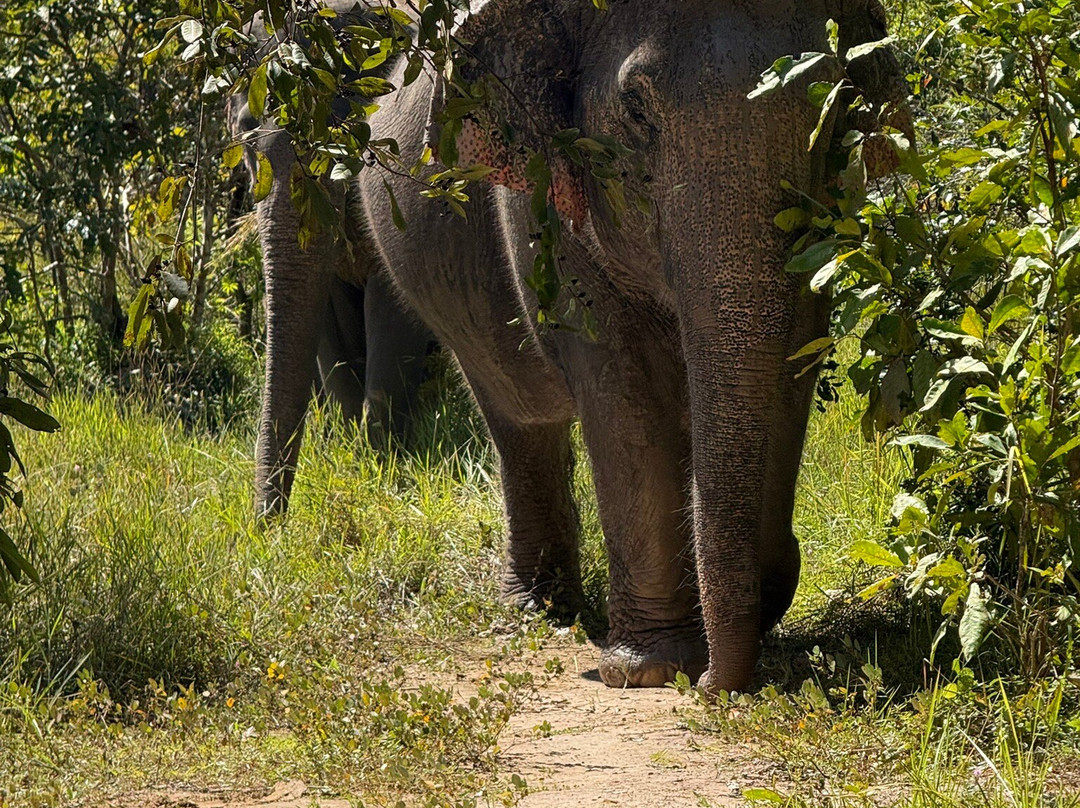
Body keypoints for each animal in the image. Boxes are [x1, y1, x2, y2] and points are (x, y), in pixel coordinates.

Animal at [226, 94, 434, 518]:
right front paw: (354, 455)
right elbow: (325, 323)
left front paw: (382, 466)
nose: (265, 524)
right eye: (246, 136)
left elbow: (392, 308)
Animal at [250, 0, 910, 692]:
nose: (715, 685)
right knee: (515, 411)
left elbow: (797, 350)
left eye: (833, 105)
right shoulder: (543, 195)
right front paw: (648, 668)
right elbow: (620, 378)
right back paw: (537, 610)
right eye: (637, 110)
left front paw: (749, 611)